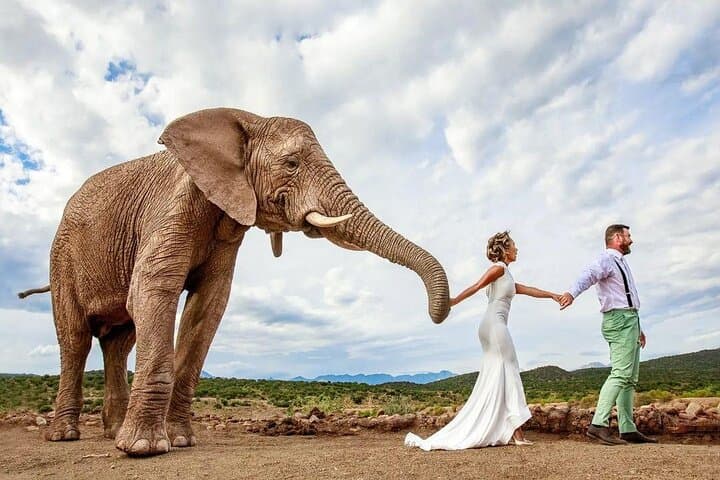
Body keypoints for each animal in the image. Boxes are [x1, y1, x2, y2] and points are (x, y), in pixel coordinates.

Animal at [18, 107, 450, 457]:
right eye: (291, 163)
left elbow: (208, 306)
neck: (245, 120)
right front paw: (144, 449)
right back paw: (66, 436)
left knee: (119, 342)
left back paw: (111, 433)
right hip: (62, 258)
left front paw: (181, 442)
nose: (436, 314)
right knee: (75, 339)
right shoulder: (172, 207)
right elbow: (153, 289)